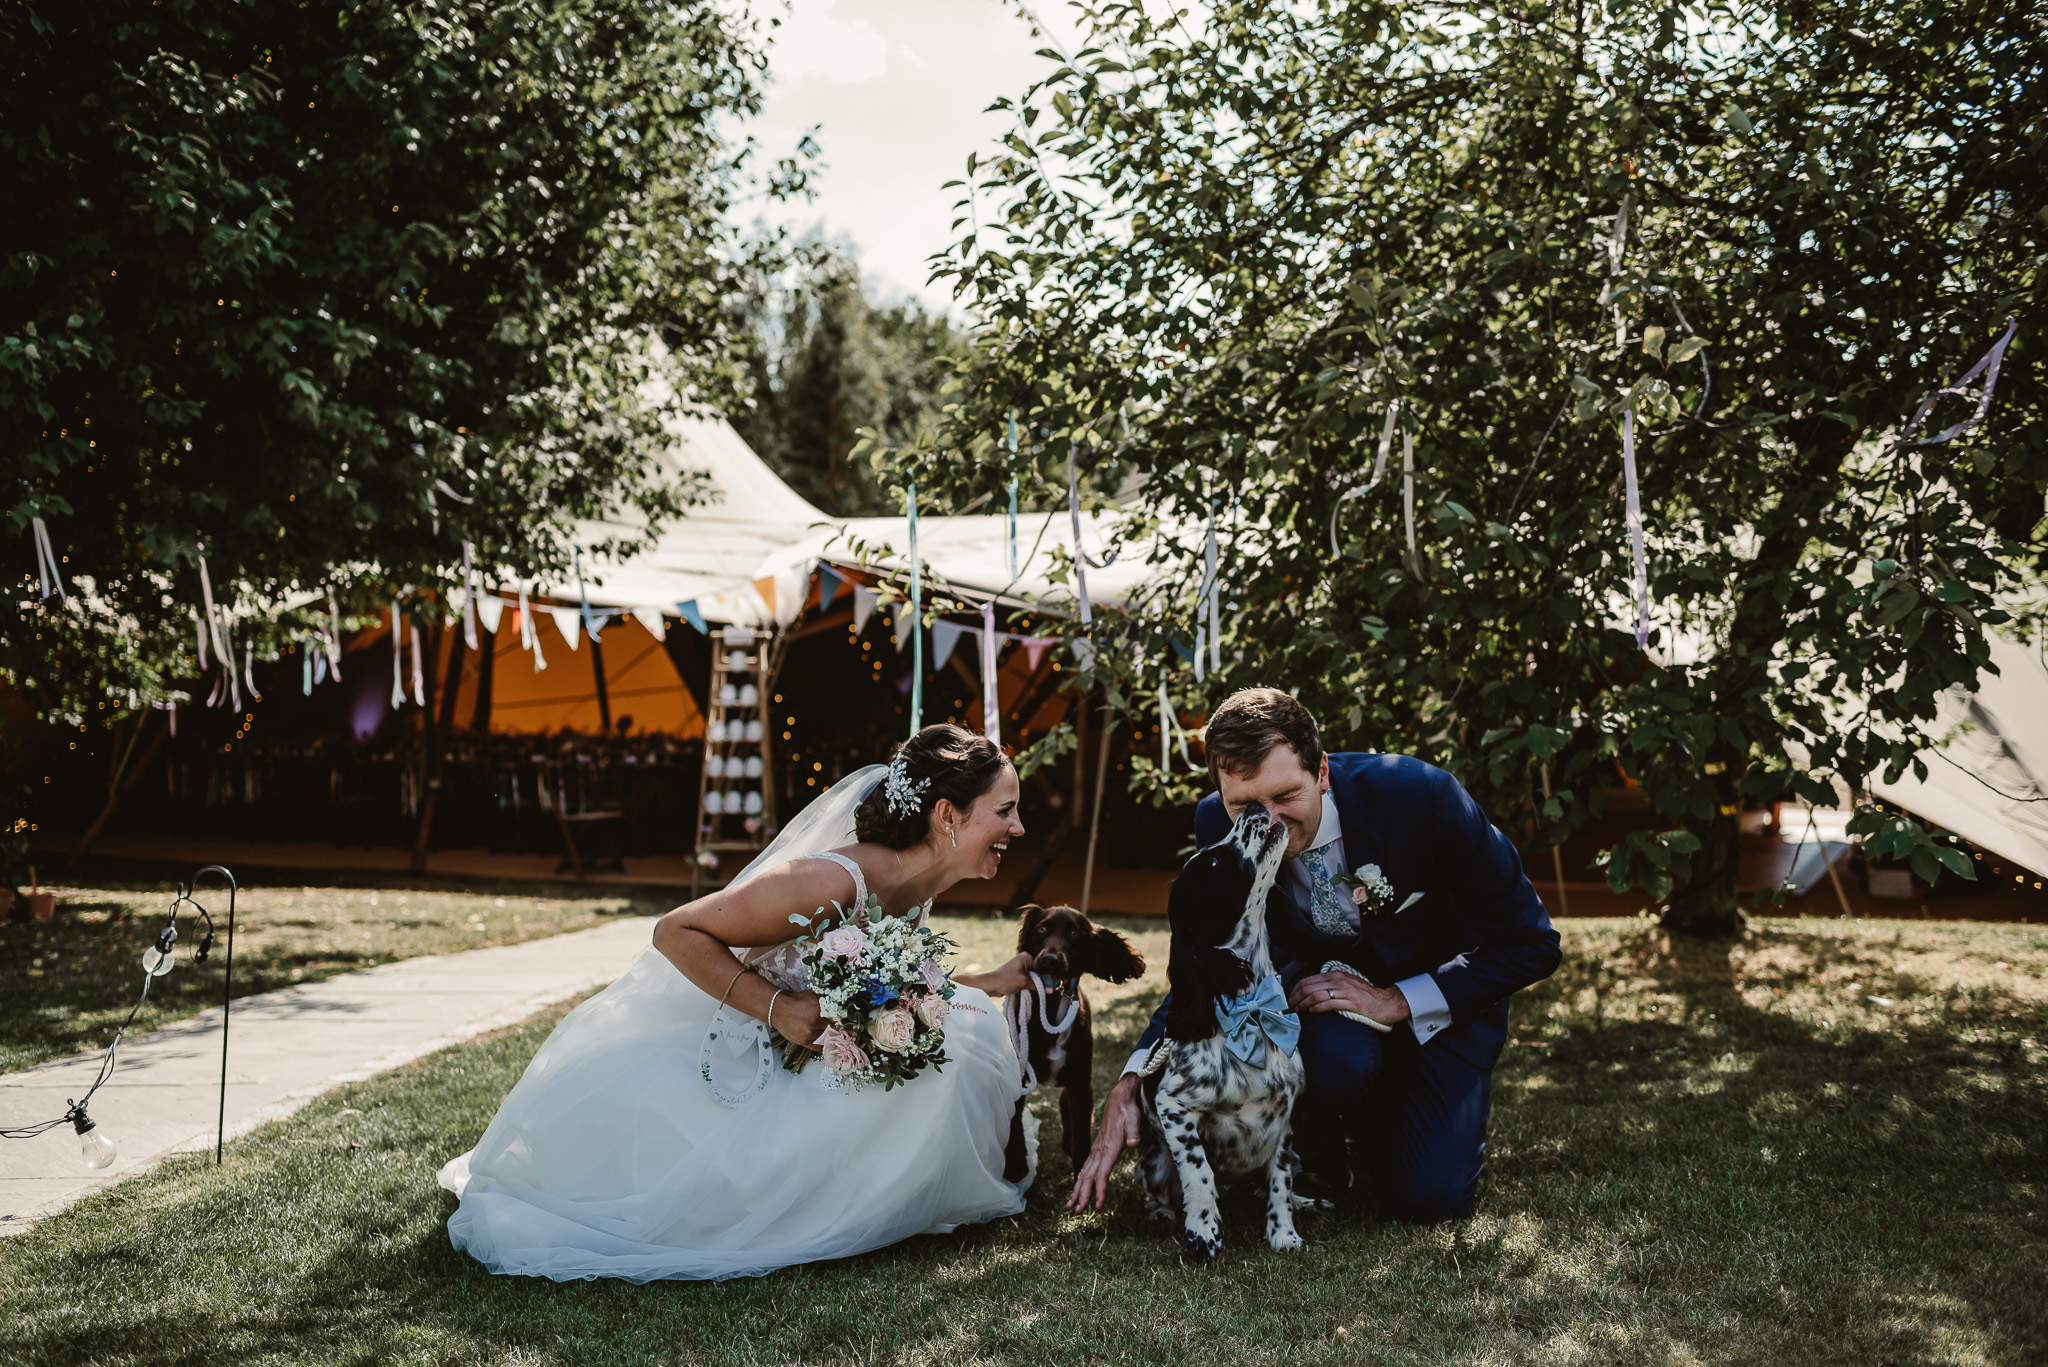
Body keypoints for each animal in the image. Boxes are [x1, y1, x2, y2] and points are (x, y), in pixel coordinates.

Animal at [1130, 803, 1302, 1262]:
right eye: (1213, 862)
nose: (1255, 806)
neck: (1250, 1009)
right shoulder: (1173, 1107)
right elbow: (1199, 1173)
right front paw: (1203, 1234)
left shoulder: (1286, 1113)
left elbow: (1280, 1181)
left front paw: (1284, 1233)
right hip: (1152, 1163)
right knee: (1160, 1189)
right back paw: (1161, 1214)